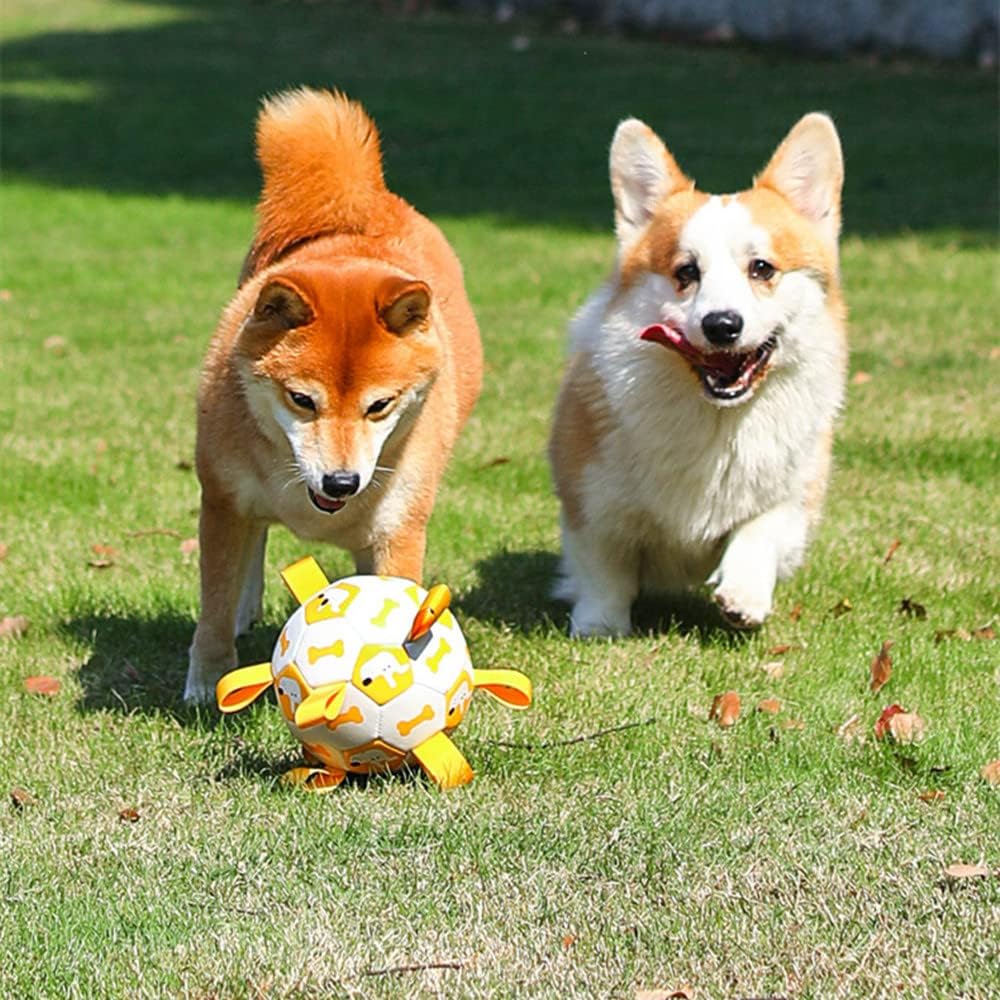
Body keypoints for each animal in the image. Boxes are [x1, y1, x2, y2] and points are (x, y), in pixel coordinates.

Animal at [189, 92, 486, 704]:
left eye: (380, 406)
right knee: (253, 546)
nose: (342, 482)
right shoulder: (223, 500)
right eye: (302, 400)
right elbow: (215, 603)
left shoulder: (399, 528)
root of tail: (365, 203)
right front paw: (207, 681)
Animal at [552, 113, 848, 636]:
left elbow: (761, 528)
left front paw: (743, 595)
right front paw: (600, 625)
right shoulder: (590, 497)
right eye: (686, 272)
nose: (722, 325)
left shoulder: (794, 497)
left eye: (762, 268)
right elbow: (604, 566)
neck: (717, 418)